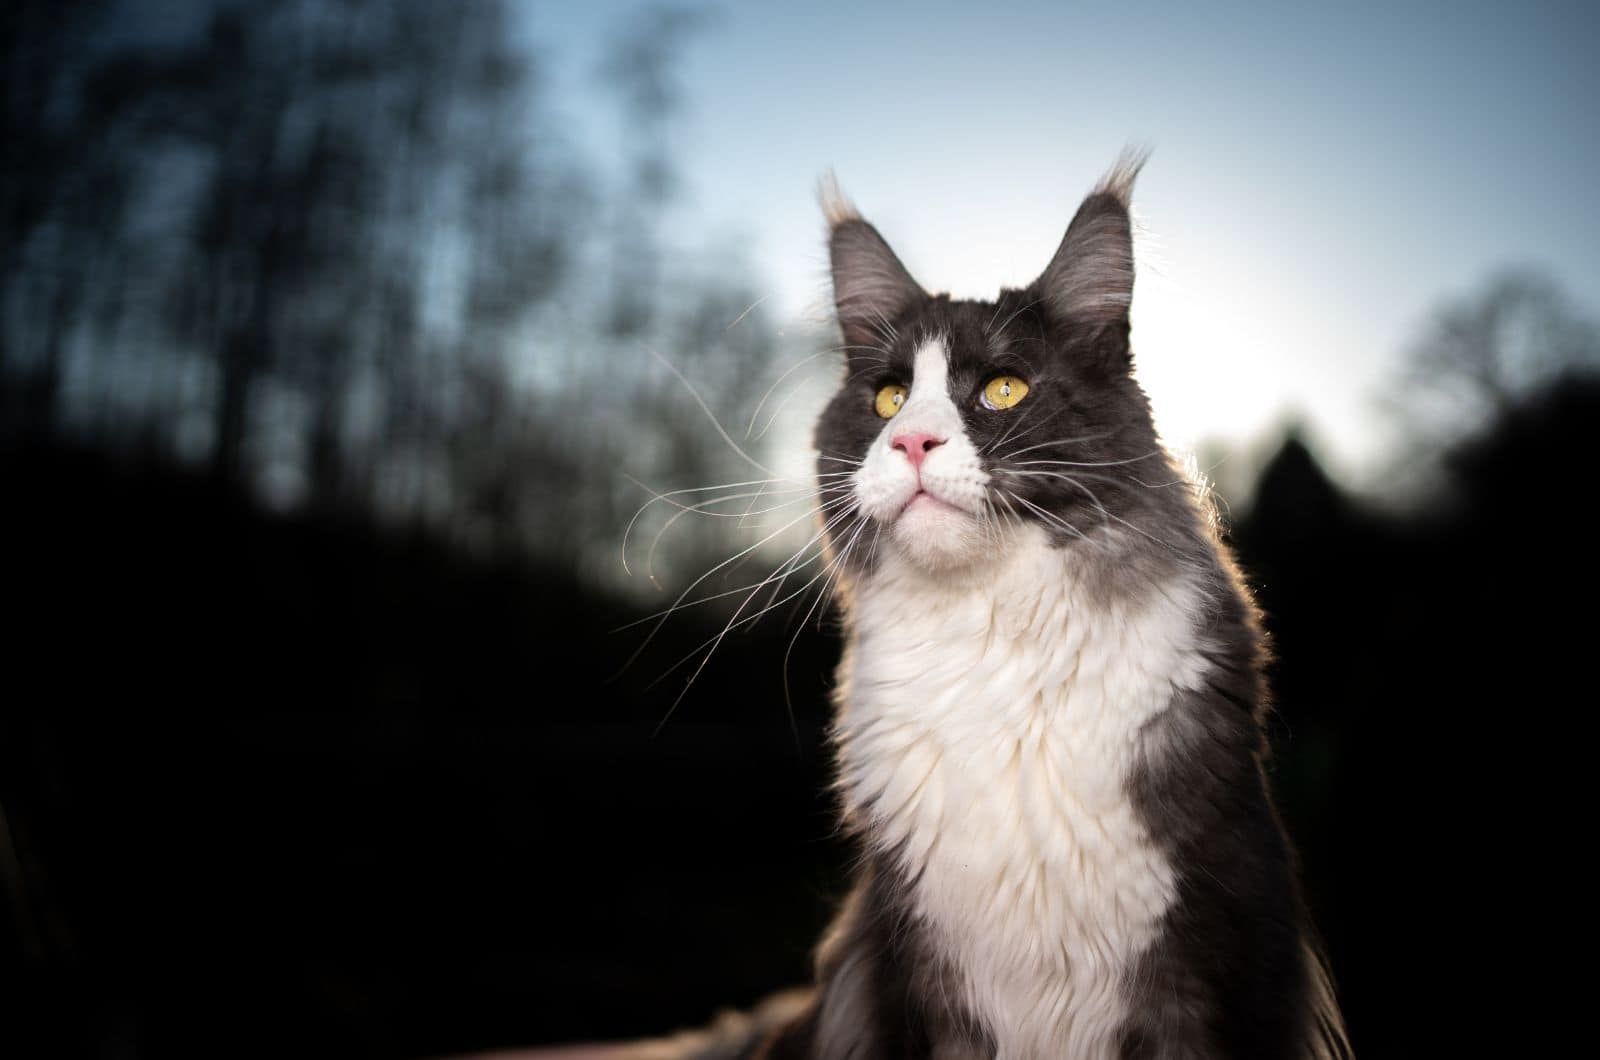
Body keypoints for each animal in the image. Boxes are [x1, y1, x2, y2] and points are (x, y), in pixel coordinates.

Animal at [601, 156, 1350, 1060]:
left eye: (1003, 389)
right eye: (889, 401)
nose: (911, 443)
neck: (990, 638)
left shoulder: (1212, 953)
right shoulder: (916, 976)